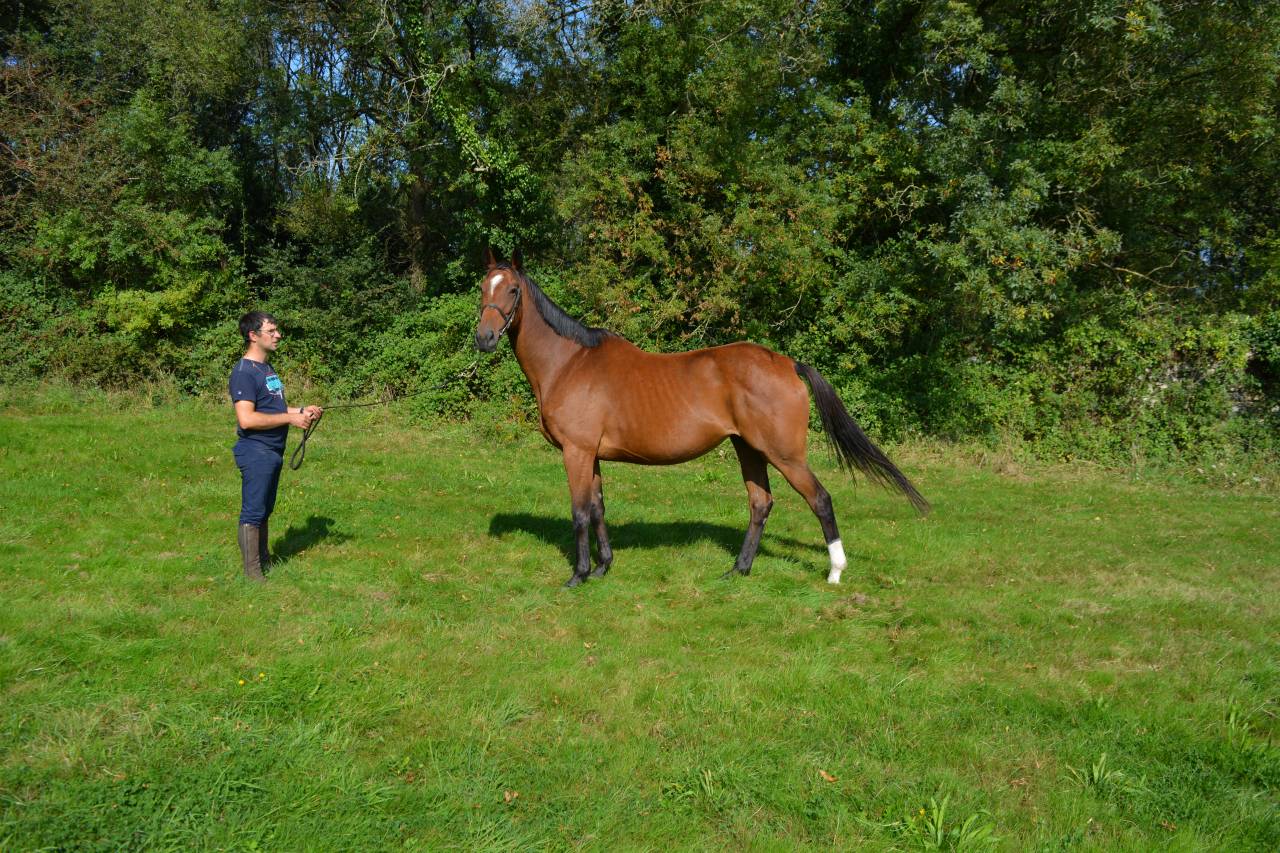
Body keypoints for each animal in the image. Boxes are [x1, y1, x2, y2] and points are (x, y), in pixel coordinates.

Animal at [474, 248, 929, 587]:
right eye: (482, 287)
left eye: (512, 290)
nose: (484, 338)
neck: (569, 363)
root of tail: (786, 363)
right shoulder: (592, 455)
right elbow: (599, 507)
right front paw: (604, 567)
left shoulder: (577, 451)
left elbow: (580, 511)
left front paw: (579, 575)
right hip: (749, 449)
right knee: (760, 503)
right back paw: (738, 570)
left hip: (784, 454)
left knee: (819, 499)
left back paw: (834, 571)